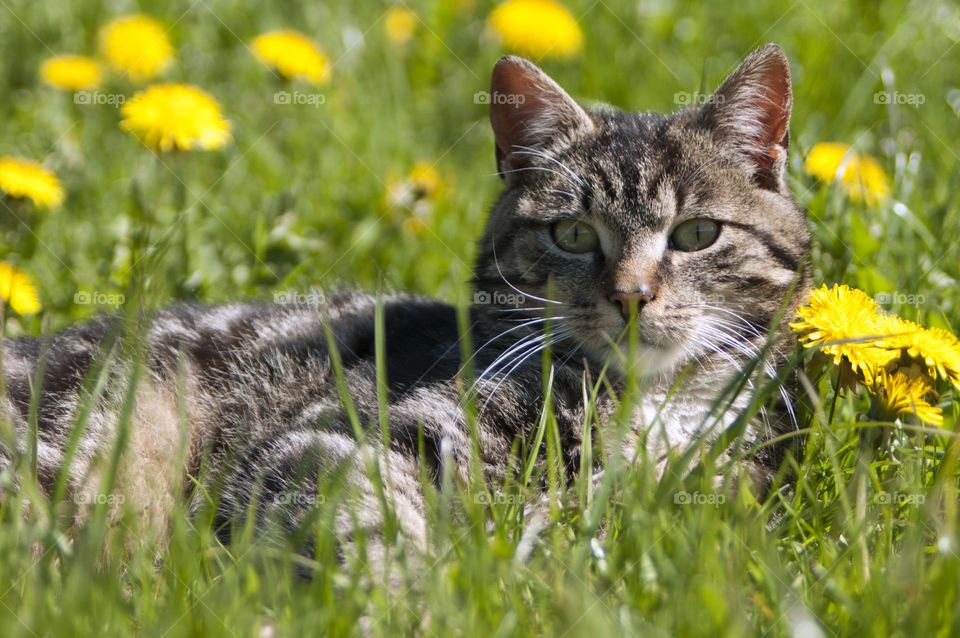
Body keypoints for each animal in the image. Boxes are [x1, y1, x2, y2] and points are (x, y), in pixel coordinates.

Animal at [0, 45, 808, 572]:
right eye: (574, 234)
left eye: (696, 234)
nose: (632, 297)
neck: (646, 401)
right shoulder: (348, 436)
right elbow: (368, 523)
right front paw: (404, 597)